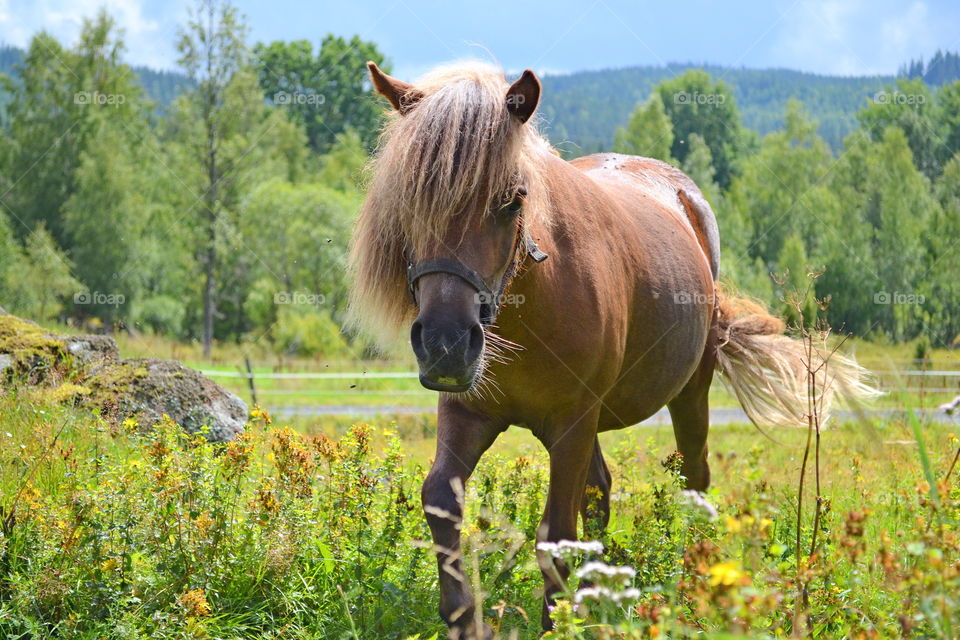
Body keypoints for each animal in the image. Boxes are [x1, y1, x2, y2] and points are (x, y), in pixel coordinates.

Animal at [348, 61, 872, 640]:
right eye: (410, 201)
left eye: (512, 199)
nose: (445, 344)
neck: (530, 306)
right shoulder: (468, 413)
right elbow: (443, 501)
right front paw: (465, 617)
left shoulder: (572, 423)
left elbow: (555, 535)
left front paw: (557, 622)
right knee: (600, 492)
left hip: (687, 392)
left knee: (693, 480)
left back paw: (694, 582)